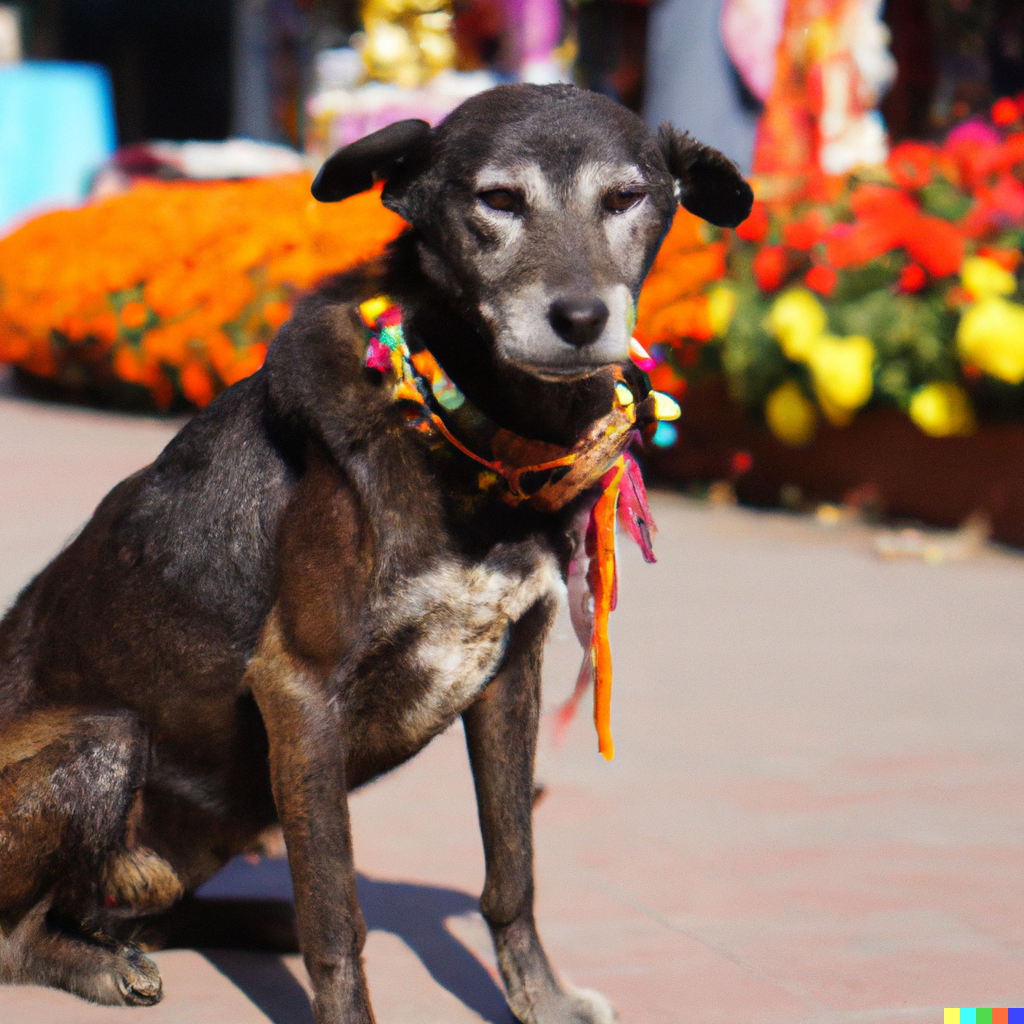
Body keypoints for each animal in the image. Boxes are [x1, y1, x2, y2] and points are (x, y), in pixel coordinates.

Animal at [0, 83, 753, 1019]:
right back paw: (104, 964)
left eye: (626, 198)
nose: (581, 319)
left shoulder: (510, 673)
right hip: (103, 742)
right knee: (19, 934)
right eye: (498, 200)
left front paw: (538, 999)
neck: (477, 448)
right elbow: (337, 916)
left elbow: (513, 871)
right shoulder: (298, 687)